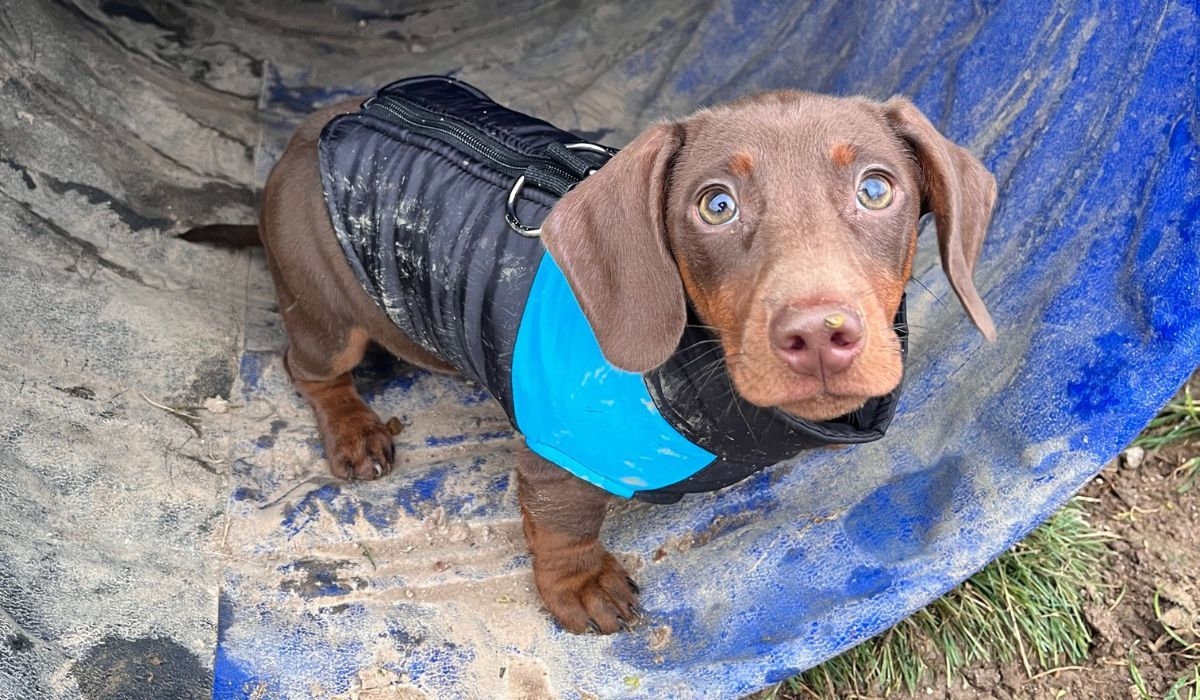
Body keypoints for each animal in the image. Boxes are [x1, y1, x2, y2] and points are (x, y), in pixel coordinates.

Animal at [238, 87, 988, 633]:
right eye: (716, 205)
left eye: (875, 189)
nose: (819, 334)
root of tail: (315, 131)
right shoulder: (558, 448)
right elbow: (564, 525)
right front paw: (581, 588)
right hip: (322, 308)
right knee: (309, 369)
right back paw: (354, 429)